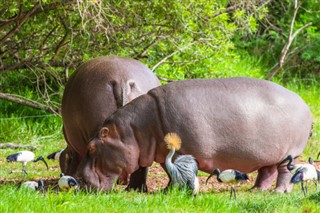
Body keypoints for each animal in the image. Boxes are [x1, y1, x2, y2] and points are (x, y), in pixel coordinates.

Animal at [79, 78, 312, 191]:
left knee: (283, 173)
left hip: (290, 153)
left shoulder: (181, 151)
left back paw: (278, 192)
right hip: (269, 154)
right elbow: (172, 172)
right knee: (267, 172)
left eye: (91, 147)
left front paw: (169, 192)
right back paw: (256, 191)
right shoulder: (165, 153)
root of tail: (304, 103)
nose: (79, 181)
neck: (135, 130)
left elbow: (176, 173)